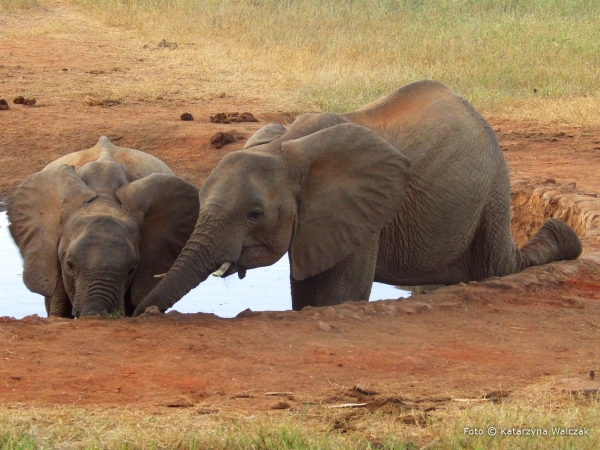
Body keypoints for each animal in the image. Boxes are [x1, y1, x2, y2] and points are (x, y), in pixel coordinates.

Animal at [132, 80, 580, 316]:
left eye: (255, 214)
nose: (139, 312)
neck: (287, 148)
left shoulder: (362, 216)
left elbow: (338, 297)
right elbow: (305, 293)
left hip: (490, 191)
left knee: (499, 266)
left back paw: (564, 238)